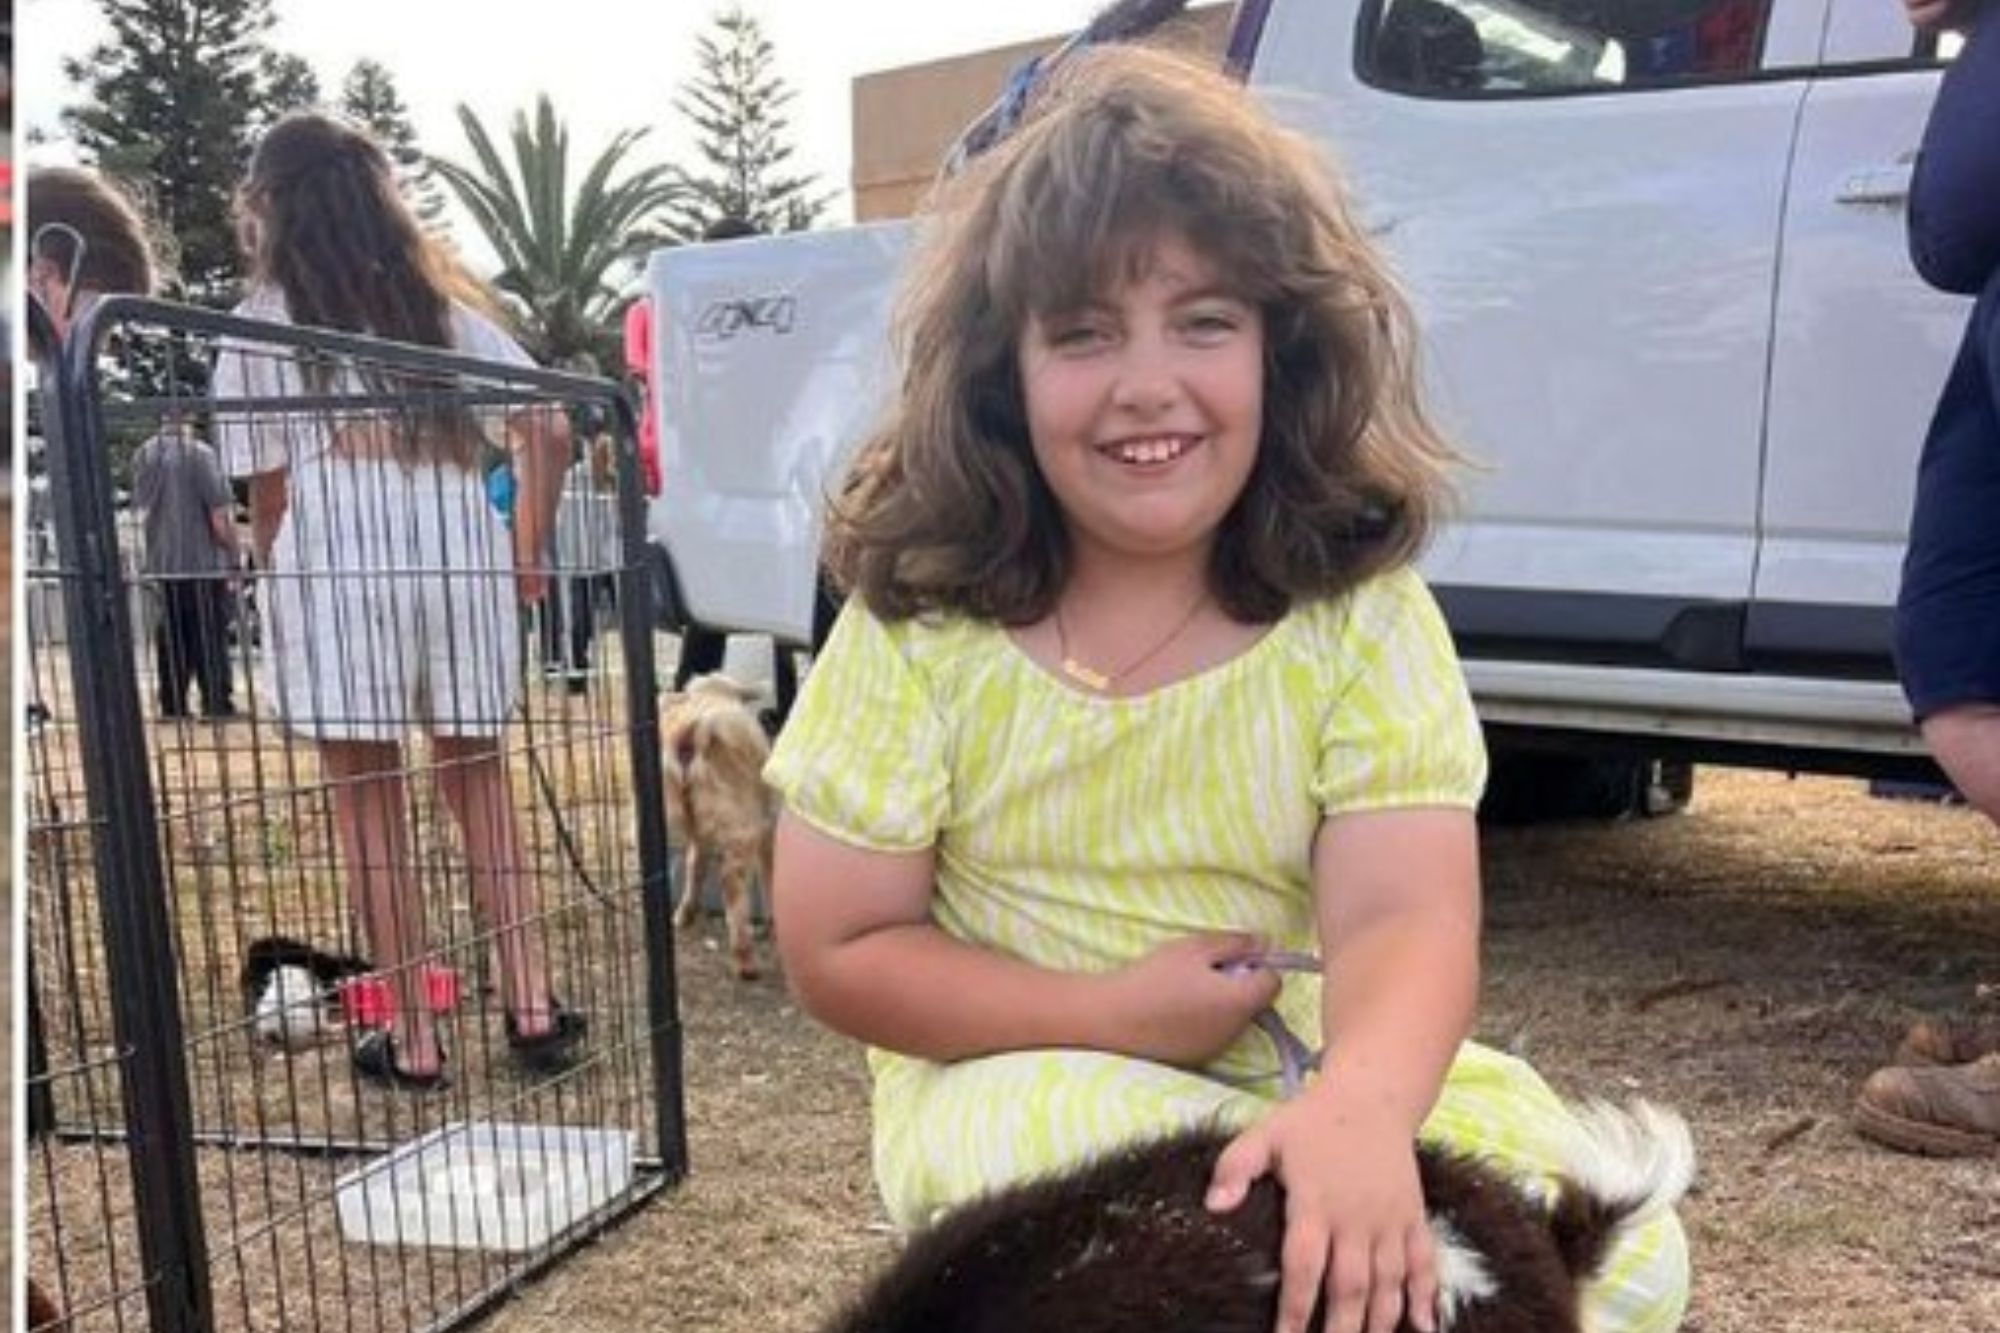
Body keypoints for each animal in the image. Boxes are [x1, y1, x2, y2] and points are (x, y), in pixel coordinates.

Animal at [662, 673, 777, 979]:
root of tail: (691, 733)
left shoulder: (700, 834)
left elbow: (695, 865)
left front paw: (686, 913)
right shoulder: (767, 826)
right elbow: (769, 873)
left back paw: (677, 917)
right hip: (741, 822)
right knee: (732, 883)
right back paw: (745, 961)